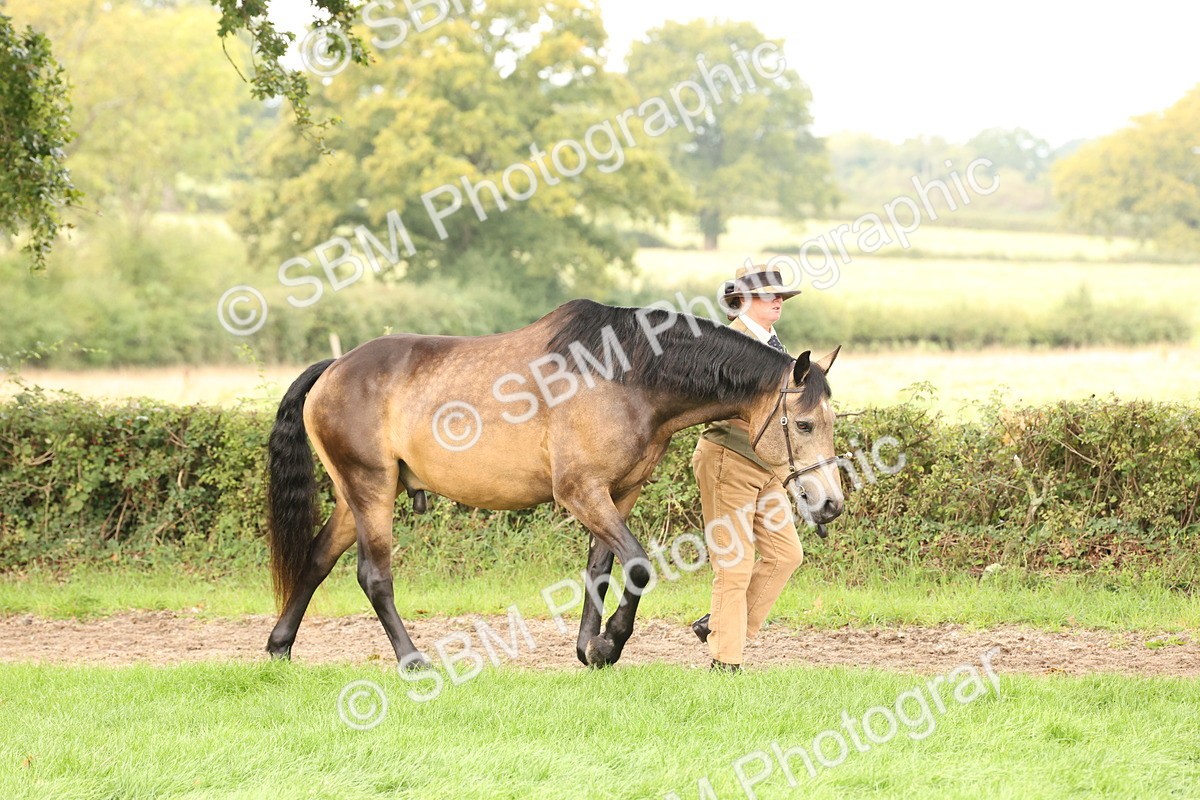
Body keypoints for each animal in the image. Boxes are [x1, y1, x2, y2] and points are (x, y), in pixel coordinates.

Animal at [265, 299, 844, 668]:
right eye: (805, 424)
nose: (831, 504)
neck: (629, 376)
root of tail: (335, 367)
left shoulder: (617, 494)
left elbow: (600, 570)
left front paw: (590, 649)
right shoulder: (580, 492)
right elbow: (637, 565)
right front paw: (610, 645)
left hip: (353, 497)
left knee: (317, 559)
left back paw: (279, 646)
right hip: (373, 491)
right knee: (373, 575)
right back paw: (410, 659)